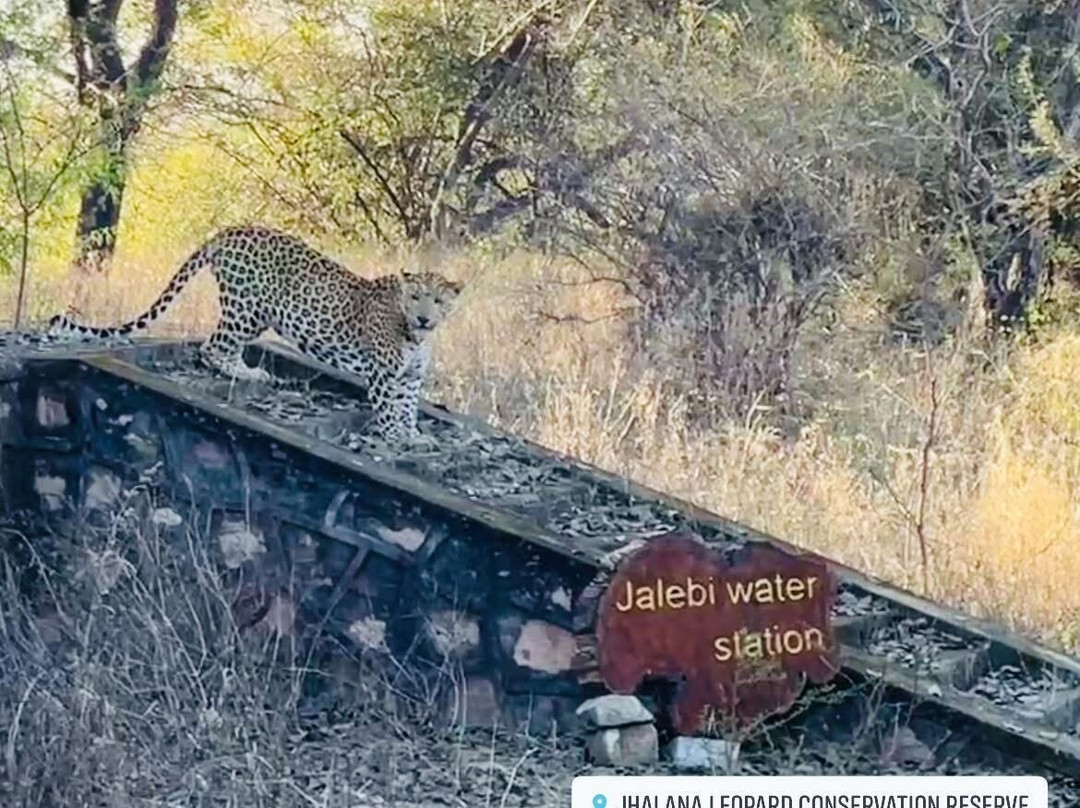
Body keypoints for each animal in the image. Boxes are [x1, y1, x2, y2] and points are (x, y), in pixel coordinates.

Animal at [48, 225, 463, 442]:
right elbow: (390, 407)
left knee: (220, 347)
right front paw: (394, 435)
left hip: (254, 314)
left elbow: (407, 407)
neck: (416, 337)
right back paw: (244, 372)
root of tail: (228, 230)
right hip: (246, 309)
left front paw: (412, 434)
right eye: (415, 297)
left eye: (438, 301)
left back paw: (251, 372)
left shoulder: (409, 378)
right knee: (212, 348)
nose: (424, 318)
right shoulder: (382, 374)